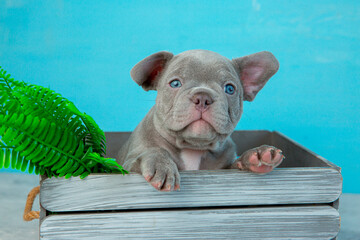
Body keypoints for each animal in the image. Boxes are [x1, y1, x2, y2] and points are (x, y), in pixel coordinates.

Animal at [117, 50, 284, 191]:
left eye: (230, 89)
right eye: (175, 83)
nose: (203, 97)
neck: (193, 148)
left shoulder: (226, 168)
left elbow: (236, 164)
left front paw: (258, 155)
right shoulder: (129, 165)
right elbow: (153, 151)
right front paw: (162, 166)